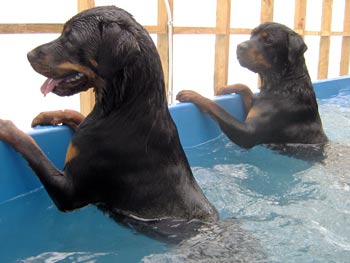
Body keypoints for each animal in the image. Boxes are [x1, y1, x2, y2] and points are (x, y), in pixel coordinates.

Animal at [0, 5, 219, 242]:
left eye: (70, 38)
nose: (28, 55)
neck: (123, 109)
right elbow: (77, 115)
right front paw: (47, 115)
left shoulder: (70, 193)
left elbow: (34, 150)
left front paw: (7, 126)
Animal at [178, 21, 328, 158]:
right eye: (252, 34)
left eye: (268, 41)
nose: (239, 47)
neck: (284, 83)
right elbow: (246, 88)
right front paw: (224, 88)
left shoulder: (247, 133)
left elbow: (218, 108)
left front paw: (193, 95)